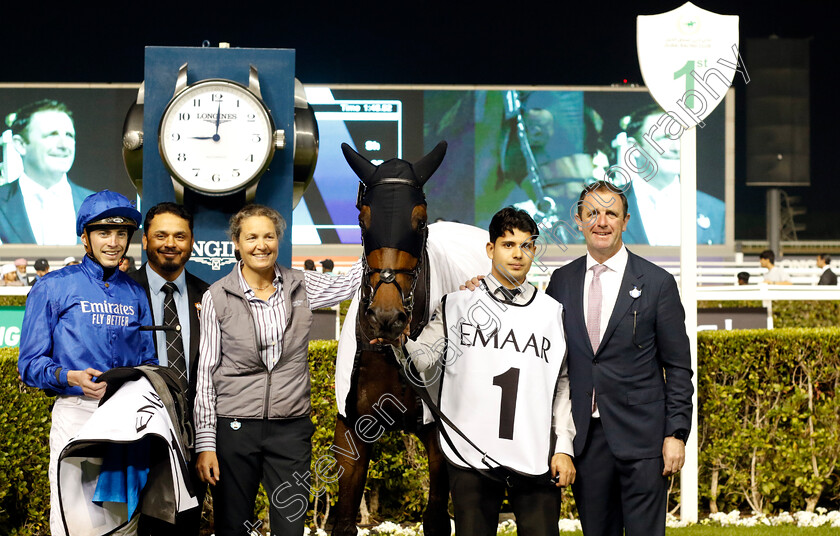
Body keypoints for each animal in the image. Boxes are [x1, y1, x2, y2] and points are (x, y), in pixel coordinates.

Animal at [334, 140, 492, 532]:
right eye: (363, 219)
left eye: (419, 220)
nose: (387, 317)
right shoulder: (351, 428)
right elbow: (343, 520)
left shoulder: (440, 437)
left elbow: (436, 518)